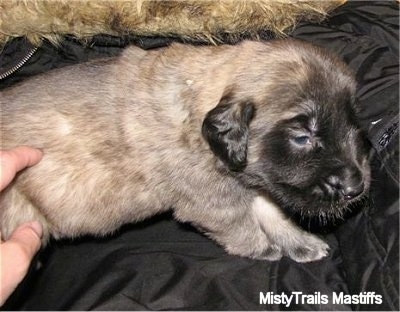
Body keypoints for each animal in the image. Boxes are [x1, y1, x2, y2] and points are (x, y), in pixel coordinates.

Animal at [0, 39, 370, 264]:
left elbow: (270, 211)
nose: (356, 187)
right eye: (302, 137)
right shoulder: (212, 202)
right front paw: (263, 249)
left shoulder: (250, 182)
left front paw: (300, 242)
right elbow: (242, 225)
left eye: (351, 121)